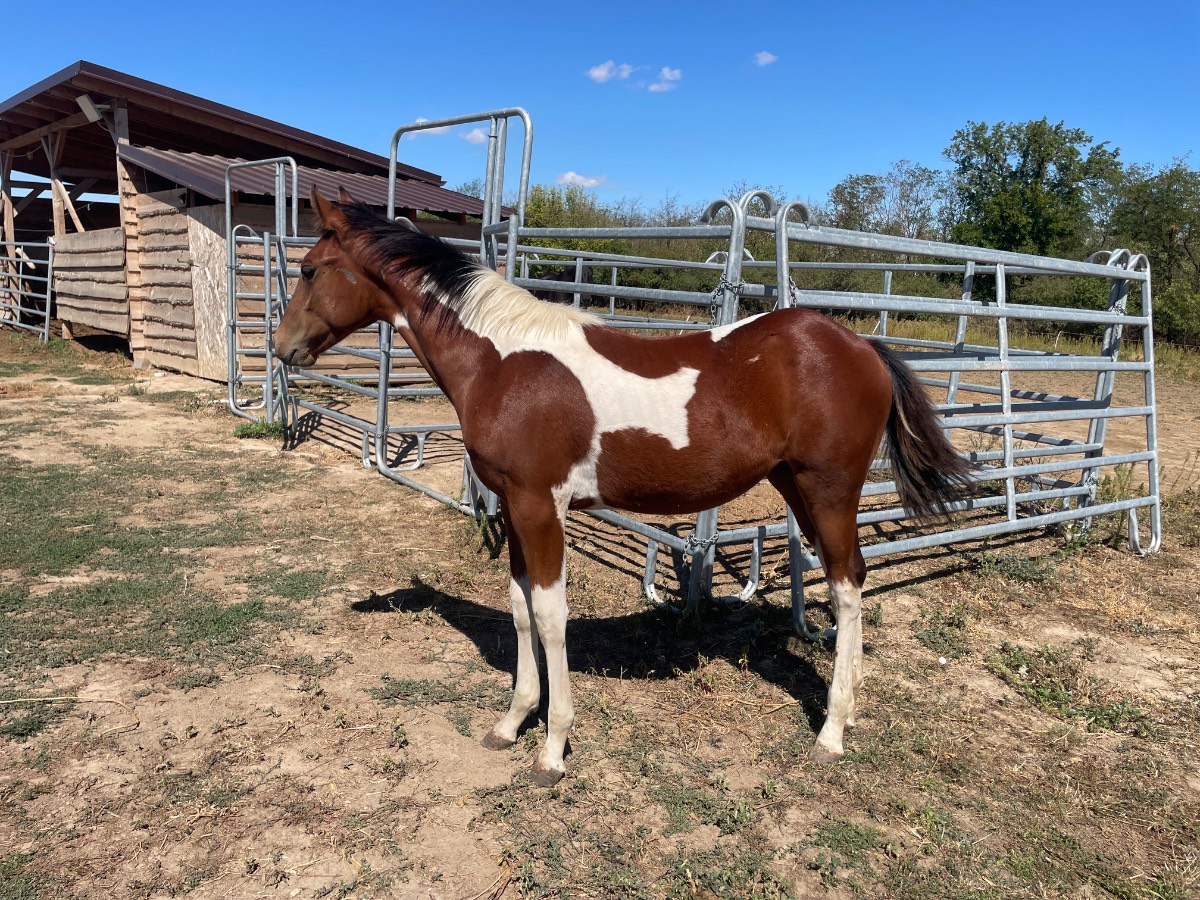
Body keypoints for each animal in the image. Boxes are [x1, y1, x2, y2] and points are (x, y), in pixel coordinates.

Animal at [275, 189, 974, 786]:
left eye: (309, 270)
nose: (282, 348)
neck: (502, 362)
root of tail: (861, 344)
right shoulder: (515, 508)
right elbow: (520, 607)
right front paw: (511, 722)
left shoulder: (539, 505)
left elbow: (550, 616)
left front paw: (553, 750)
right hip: (795, 486)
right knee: (844, 577)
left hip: (828, 490)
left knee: (849, 588)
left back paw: (831, 732)